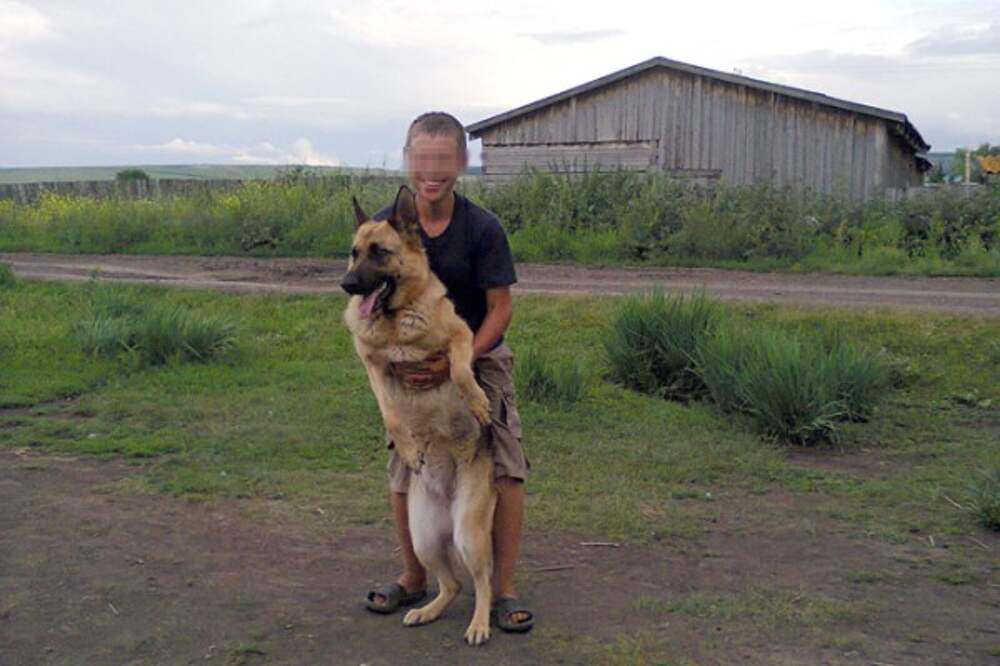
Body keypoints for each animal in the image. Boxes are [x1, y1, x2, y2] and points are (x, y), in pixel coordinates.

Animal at [342, 185, 498, 644]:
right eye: (354, 253)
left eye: (380, 252)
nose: (347, 285)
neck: (396, 321)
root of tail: (447, 501)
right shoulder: (373, 366)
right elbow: (391, 412)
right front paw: (408, 447)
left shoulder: (461, 336)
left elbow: (461, 370)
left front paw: (478, 402)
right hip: (424, 538)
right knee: (453, 583)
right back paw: (427, 610)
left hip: (469, 535)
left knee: (483, 582)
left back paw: (480, 623)